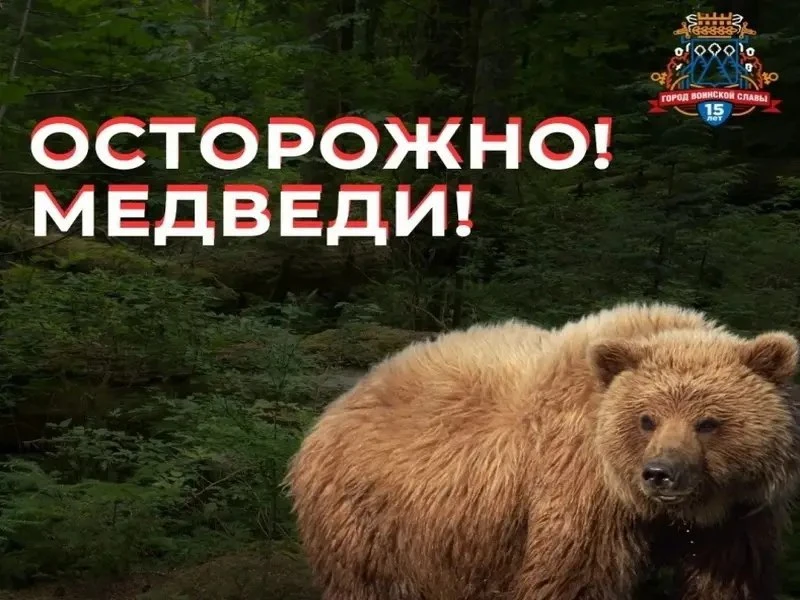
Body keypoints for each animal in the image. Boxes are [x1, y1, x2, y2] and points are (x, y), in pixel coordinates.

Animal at [285, 302, 800, 600]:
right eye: (646, 418)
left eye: (708, 422)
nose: (660, 473)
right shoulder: (581, 491)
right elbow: (572, 577)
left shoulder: (738, 517)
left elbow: (728, 579)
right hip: (372, 519)